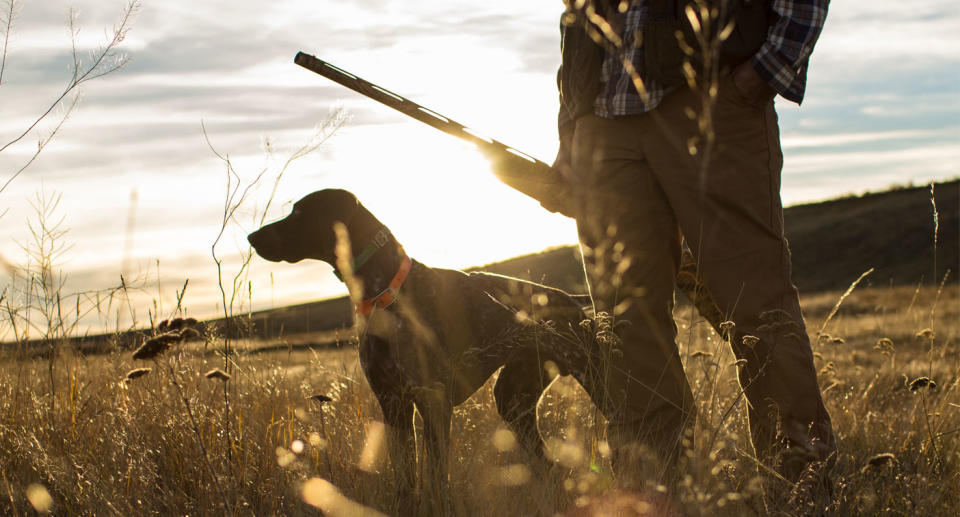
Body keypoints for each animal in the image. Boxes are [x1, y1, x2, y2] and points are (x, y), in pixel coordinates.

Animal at [249, 188, 608, 512]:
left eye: (298, 213)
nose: (252, 237)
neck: (385, 293)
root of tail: (573, 301)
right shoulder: (393, 404)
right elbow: (406, 478)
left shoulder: (432, 401)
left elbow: (435, 476)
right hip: (513, 400)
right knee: (549, 465)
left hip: (593, 378)